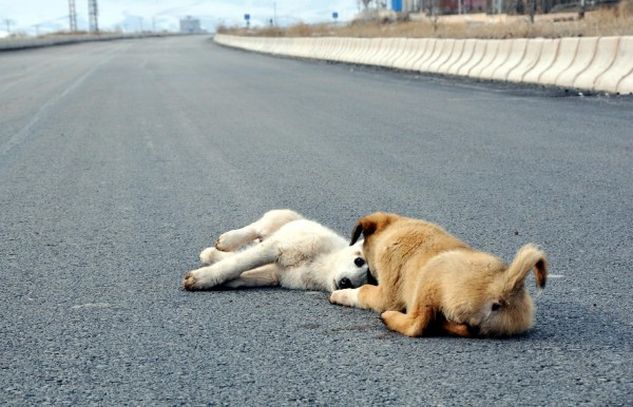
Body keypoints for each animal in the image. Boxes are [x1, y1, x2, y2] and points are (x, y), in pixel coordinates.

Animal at [180, 210, 372, 294]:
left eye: (371, 281)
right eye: (359, 261)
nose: (346, 283)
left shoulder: (275, 274)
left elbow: (245, 274)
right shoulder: (277, 248)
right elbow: (238, 263)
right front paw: (201, 278)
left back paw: (210, 254)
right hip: (279, 219)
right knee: (254, 229)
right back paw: (225, 241)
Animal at [328, 214, 544, 338]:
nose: (344, 282)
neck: (396, 230)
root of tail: (506, 285)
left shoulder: (387, 295)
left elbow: (364, 291)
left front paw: (341, 294)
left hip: (430, 274)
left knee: (417, 324)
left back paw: (389, 318)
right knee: (464, 329)